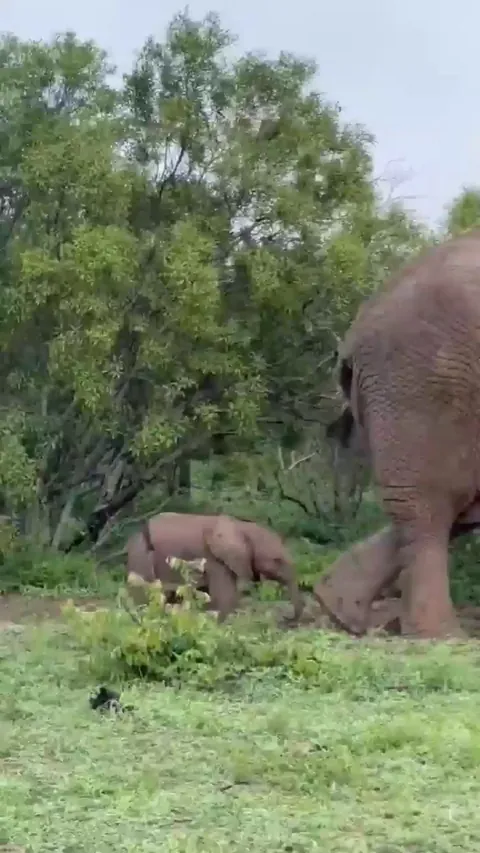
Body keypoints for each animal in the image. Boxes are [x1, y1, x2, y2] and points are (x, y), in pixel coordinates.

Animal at [126, 512, 304, 622]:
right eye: (277, 560)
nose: (287, 619)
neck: (241, 527)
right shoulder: (214, 560)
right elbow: (226, 597)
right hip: (141, 555)